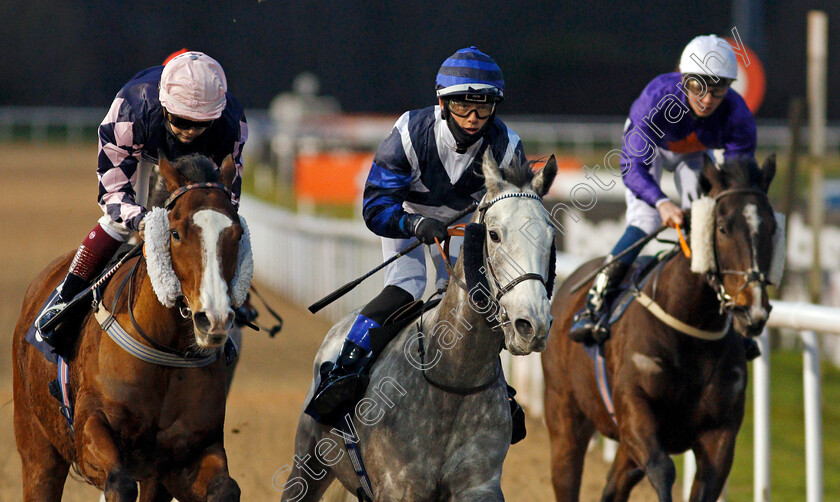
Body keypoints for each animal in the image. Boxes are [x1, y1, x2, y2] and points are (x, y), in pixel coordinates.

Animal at [11, 153, 253, 502]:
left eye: (237, 234)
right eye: (175, 233)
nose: (214, 318)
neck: (164, 349)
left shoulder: (185, 456)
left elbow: (226, 489)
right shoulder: (90, 429)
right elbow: (119, 482)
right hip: (37, 445)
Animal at [280, 151, 556, 500]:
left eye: (551, 237)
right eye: (494, 235)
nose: (531, 325)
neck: (454, 380)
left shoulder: (479, 485)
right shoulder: (399, 487)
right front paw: (428, 227)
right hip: (306, 463)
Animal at [544, 155, 780, 500]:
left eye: (773, 229)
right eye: (722, 228)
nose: (753, 309)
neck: (691, 327)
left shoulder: (720, 433)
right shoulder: (635, 407)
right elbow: (662, 468)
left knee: (614, 486)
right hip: (564, 414)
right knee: (567, 474)